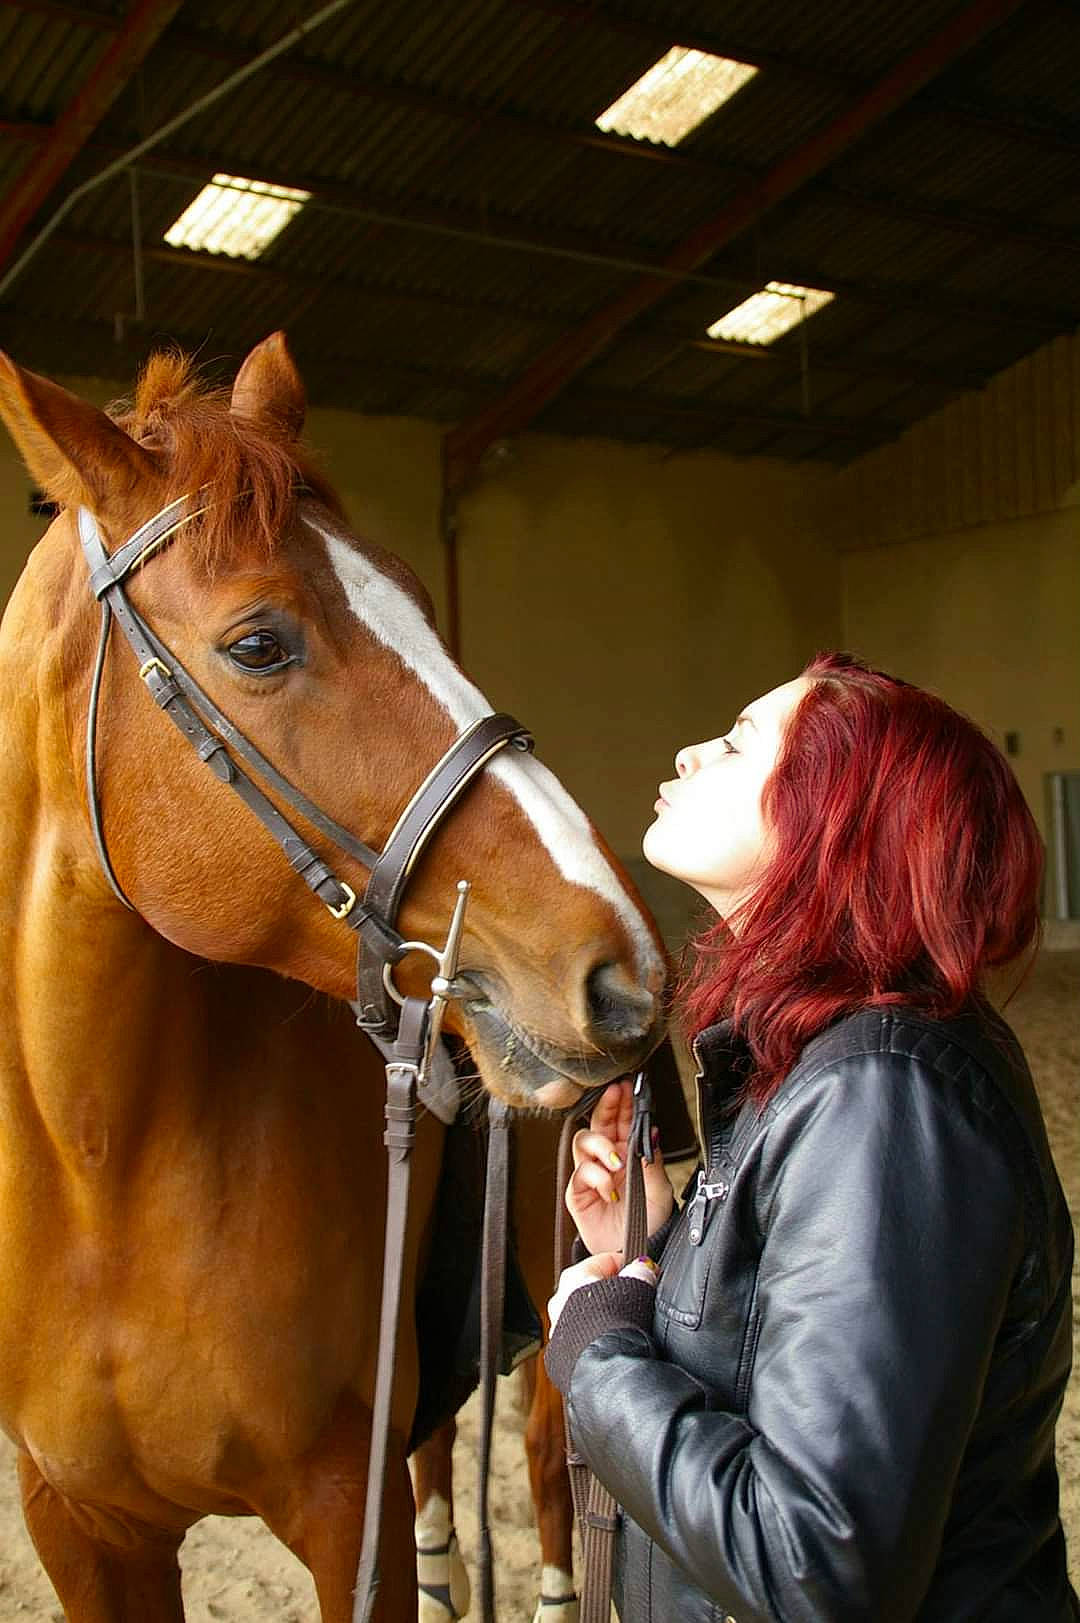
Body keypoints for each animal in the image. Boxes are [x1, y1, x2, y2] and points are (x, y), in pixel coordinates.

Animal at [0, 332, 668, 1622]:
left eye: (422, 602)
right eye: (259, 643)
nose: (621, 972)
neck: (102, 1170)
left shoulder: (340, 1508)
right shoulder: (78, 1526)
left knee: (548, 1475)